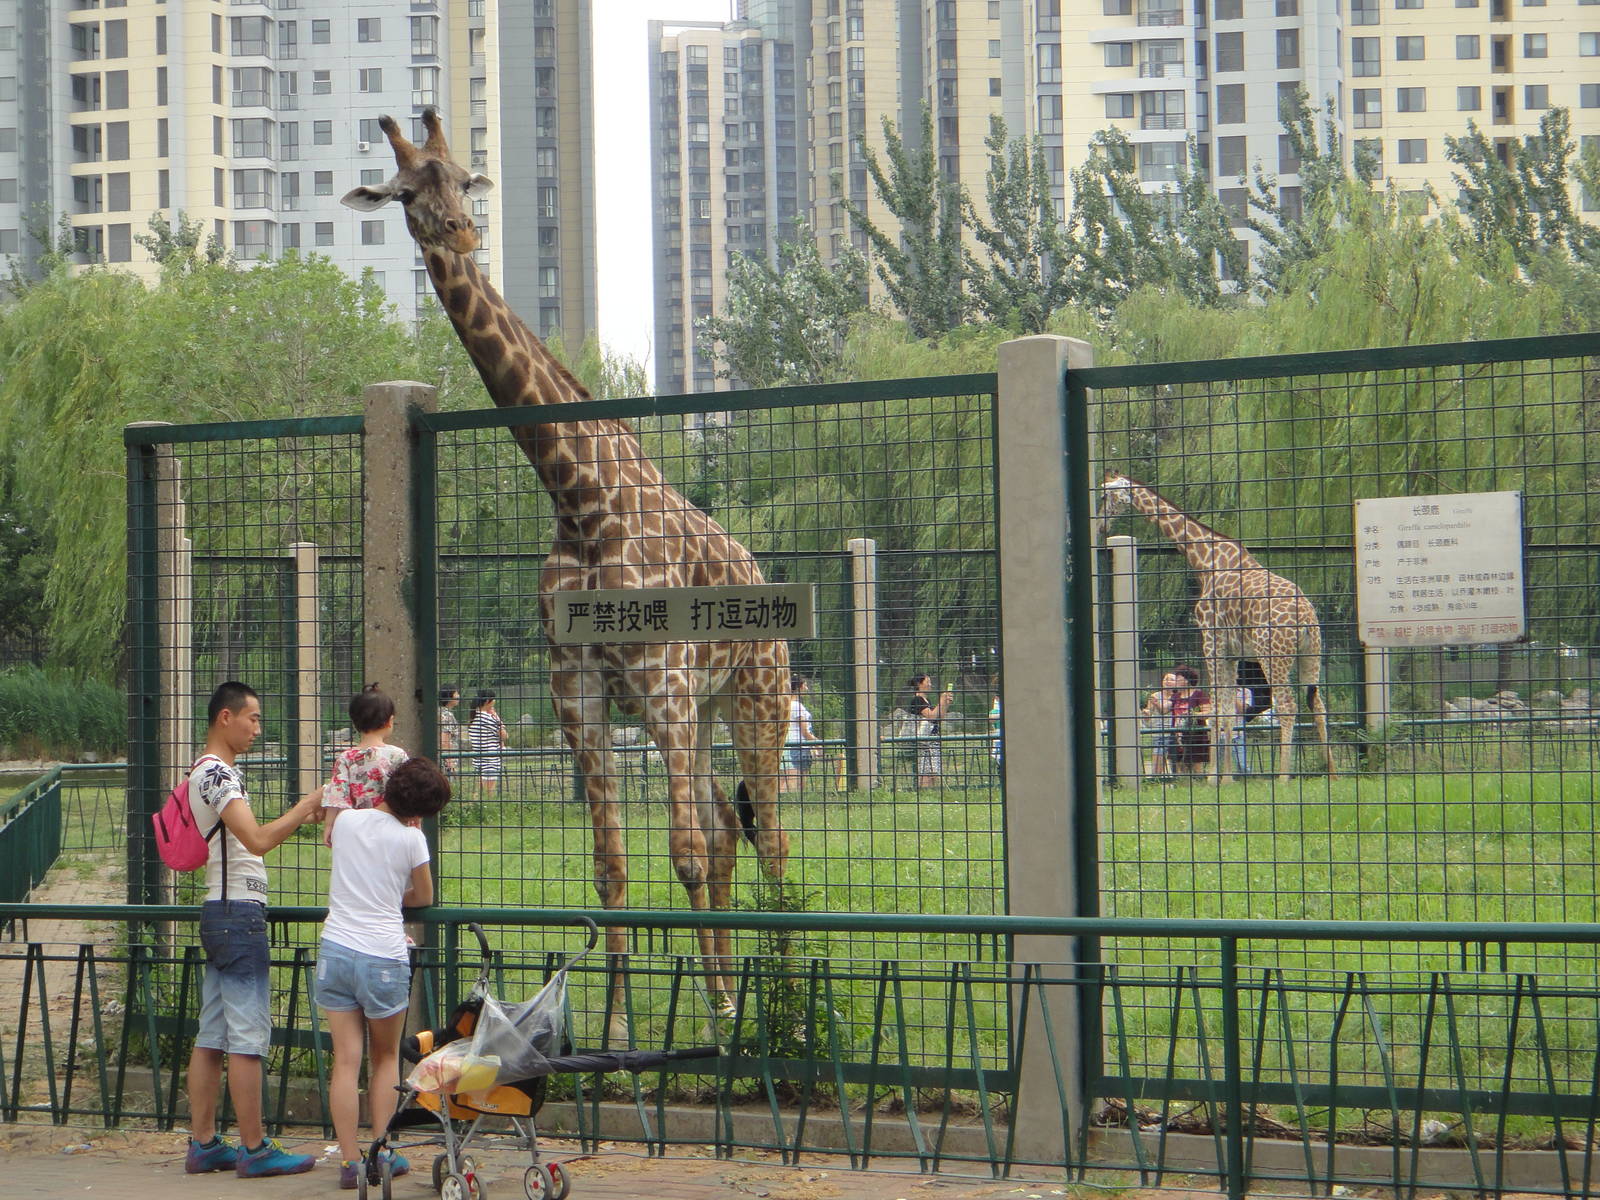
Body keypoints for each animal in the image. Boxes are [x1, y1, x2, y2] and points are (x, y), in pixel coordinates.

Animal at [343, 110, 790, 1017]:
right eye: (404, 193)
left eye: (464, 179)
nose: (462, 231)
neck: (581, 500)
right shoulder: (579, 692)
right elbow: (612, 868)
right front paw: (617, 1026)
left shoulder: (660, 686)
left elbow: (681, 854)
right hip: (707, 707)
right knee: (729, 826)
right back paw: (729, 999)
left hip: (752, 697)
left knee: (769, 841)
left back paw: (785, 1004)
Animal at [1101, 473, 1337, 782]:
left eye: (1104, 495)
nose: (1101, 524)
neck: (1205, 559)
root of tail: (1307, 616)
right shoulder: (1233, 652)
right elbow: (1226, 712)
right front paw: (1227, 777)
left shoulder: (1210, 640)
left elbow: (1214, 711)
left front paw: (1214, 778)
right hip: (1311, 654)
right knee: (1318, 705)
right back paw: (1333, 775)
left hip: (1273, 655)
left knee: (1288, 706)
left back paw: (1284, 778)